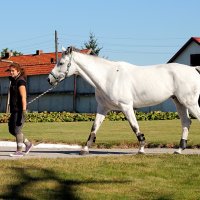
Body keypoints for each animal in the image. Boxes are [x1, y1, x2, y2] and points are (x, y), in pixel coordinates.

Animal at [47, 46, 200, 155]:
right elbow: (94, 128)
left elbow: (135, 127)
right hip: (179, 102)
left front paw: (141, 149)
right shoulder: (102, 108)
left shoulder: (126, 107)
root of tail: (193, 69)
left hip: (190, 103)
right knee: (186, 122)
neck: (108, 77)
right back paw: (179, 150)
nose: (49, 79)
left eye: (61, 63)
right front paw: (85, 149)